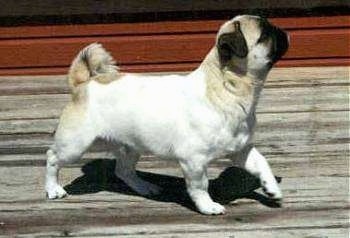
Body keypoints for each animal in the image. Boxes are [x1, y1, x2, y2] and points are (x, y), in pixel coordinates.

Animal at [45, 15, 288, 216]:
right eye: (265, 34)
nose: (282, 30)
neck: (226, 87)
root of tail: (83, 84)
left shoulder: (241, 150)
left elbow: (262, 163)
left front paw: (271, 188)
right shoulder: (194, 161)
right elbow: (200, 186)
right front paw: (207, 206)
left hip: (130, 147)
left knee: (123, 171)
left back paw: (144, 187)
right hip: (77, 144)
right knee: (53, 157)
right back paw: (53, 189)